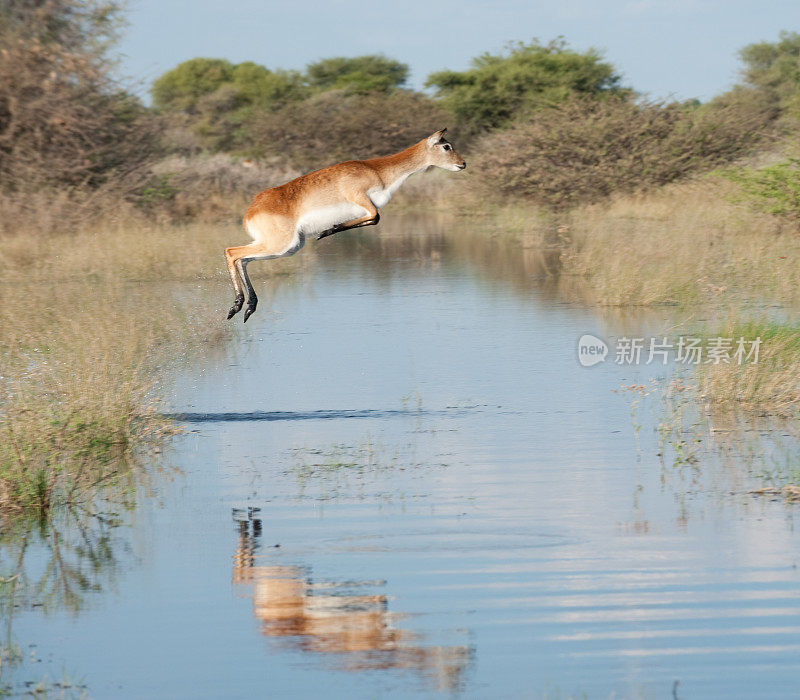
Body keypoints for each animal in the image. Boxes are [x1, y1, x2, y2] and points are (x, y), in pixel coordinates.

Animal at [225, 127, 466, 322]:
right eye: (446, 146)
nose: (463, 164)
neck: (376, 170)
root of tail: (251, 210)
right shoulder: (362, 199)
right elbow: (376, 217)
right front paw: (327, 230)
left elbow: (375, 219)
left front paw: (328, 230)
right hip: (282, 244)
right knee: (232, 252)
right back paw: (238, 306)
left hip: (288, 246)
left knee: (242, 258)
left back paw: (245, 307)